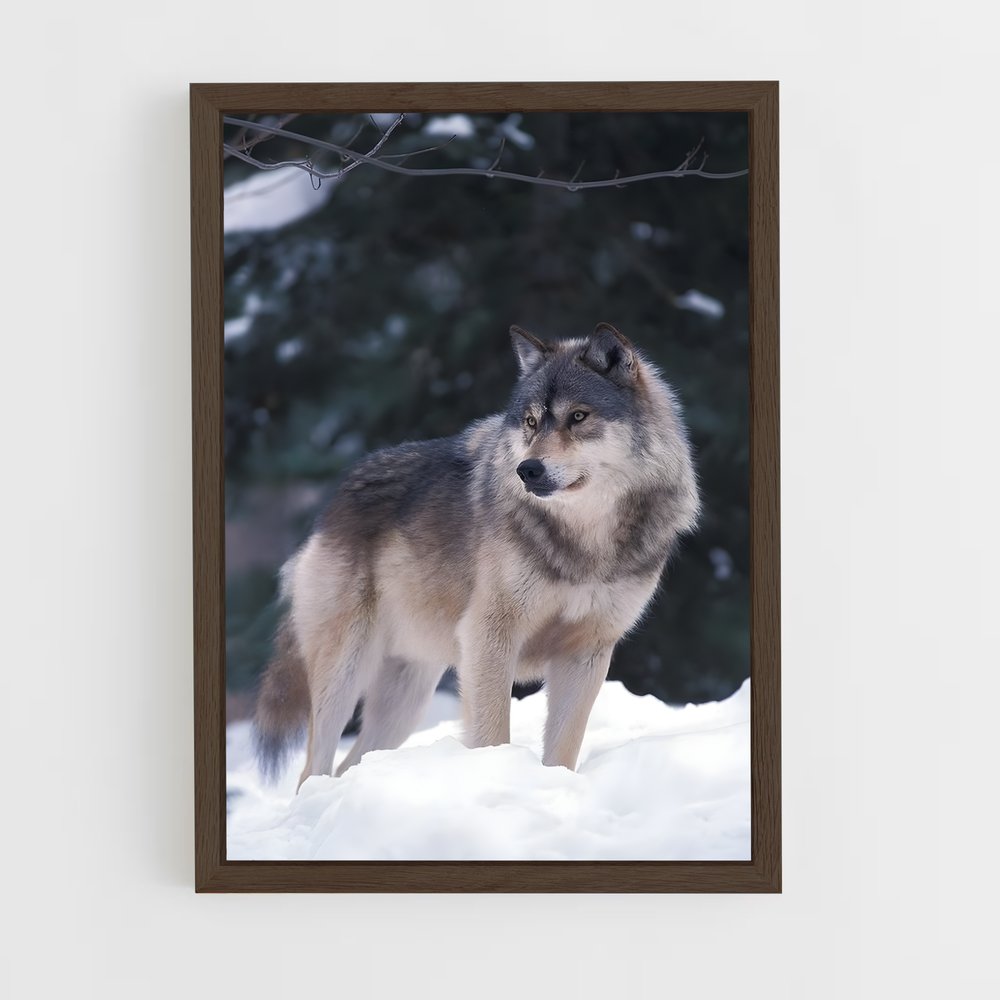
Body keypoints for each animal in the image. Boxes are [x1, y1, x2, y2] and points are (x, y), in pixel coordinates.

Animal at [253, 323, 700, 787]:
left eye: (578, 416)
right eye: (530, 421)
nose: (528, 470)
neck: (585, 542)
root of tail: (332, 503)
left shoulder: (587, 652)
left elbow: (563, 749)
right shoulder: (490, 636)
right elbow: (492, 733)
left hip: (406, 698)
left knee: (349, 765)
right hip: (347, 671)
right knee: (313, 769)